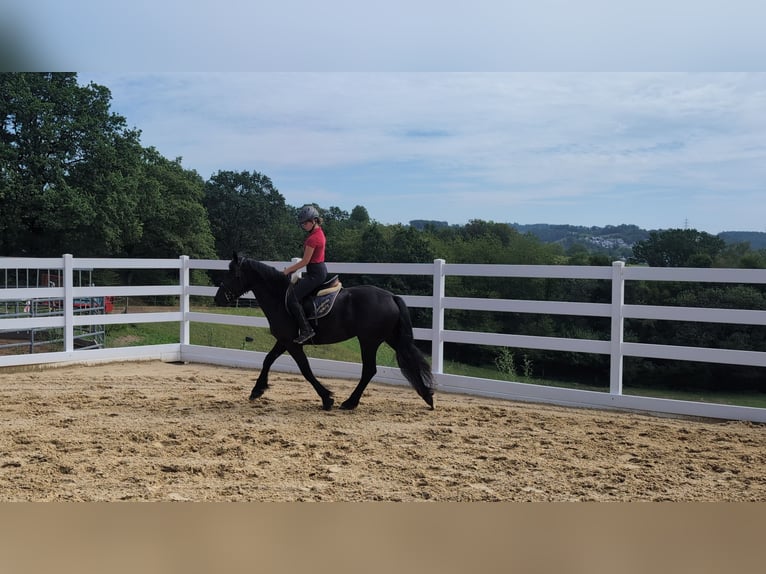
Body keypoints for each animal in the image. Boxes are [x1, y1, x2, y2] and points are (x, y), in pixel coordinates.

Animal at [214, 253, 435, 411]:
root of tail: (391, 297)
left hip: (369, 341)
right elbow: (268, 360)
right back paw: (428, 396)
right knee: (410, 360)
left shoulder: (292, 343)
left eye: (232, 274)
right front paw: (257, 390)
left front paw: (327, 398)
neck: (278, 298)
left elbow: (305, 369)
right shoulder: (284, 340)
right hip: (390, 337)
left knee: (369, 370)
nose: (218, 298)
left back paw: (350, 403)